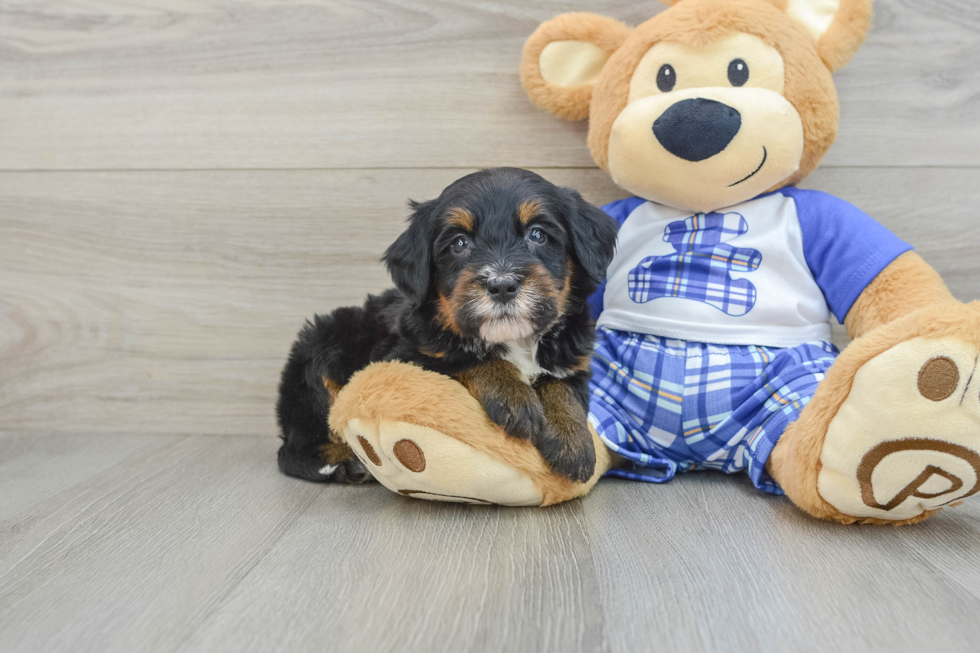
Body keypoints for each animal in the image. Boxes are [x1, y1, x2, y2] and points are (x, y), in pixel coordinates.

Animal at [276, 168, 616, 484]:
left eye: (537, 235)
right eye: (459, 243)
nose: (501, 285)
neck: (514, 340)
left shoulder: (576, 362)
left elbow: (561, 385)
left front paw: (573, 441)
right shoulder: (404, 357)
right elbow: (467, 358)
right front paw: (514, 397)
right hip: (320, 353)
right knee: (293, 448)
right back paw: (345, 463)